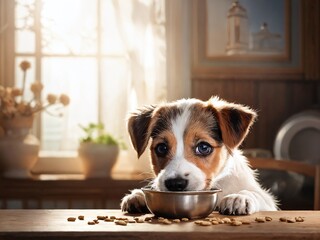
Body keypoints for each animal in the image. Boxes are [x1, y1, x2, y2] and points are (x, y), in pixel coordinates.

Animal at [120, 97, 278, 216]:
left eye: (203, 147)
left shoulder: (268, 202)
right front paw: (138, 196)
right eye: (161, 148)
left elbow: (255, 194)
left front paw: (238, 197)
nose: (175, 184)